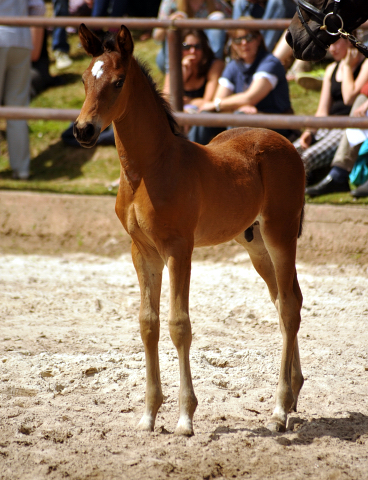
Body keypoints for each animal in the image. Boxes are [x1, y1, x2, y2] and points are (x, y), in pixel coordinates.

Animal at [73, 23, 306, 436]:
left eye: (117, 81)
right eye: (85, 79)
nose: (83, 130)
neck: (148, 168)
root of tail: (287, 144)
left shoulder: (179, 249)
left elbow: (179, 324)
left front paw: (185, 417)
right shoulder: (143, 252)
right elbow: (148, 324)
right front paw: (149, 415)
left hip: (280, 233)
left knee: (290, 307)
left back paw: (280, 409)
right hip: (256, 244)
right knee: (283, 301)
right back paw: (293, 394)